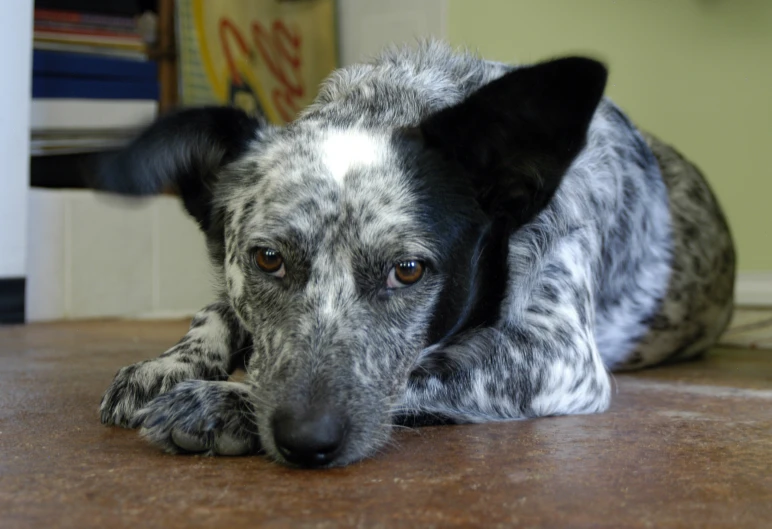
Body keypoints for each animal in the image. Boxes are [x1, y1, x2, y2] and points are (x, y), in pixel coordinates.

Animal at [96, 44, 736, 466]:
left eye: (408, 270)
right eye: (269, 259)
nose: (307, 441)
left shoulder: (559, 354)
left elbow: (432, 363)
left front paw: (227, 400)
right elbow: (217, 311)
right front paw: (169, 364)